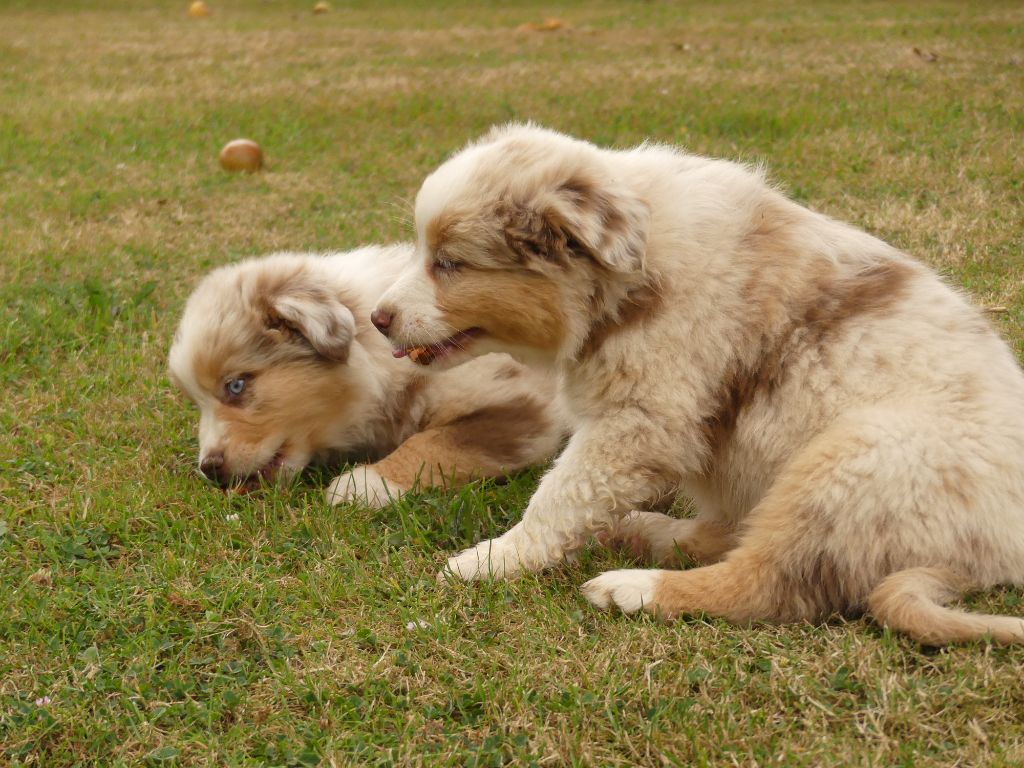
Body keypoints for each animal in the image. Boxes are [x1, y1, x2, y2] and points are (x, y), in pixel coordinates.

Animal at [171, 244, 565, 505]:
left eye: (236, 385)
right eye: (196, 403)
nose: (209, 468)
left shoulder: (518, 405)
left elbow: (434, 442)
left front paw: (361, 486)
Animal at [372, 124, 1024, 643]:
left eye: (450, 263)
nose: (377, 318)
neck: (628, 276)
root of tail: (1000, 551)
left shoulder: (640, 419)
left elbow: (561, 496)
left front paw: (492, 560)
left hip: (853, 463)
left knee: (768, 585)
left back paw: (633, 588)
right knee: (729, 535)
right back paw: (643, 532)